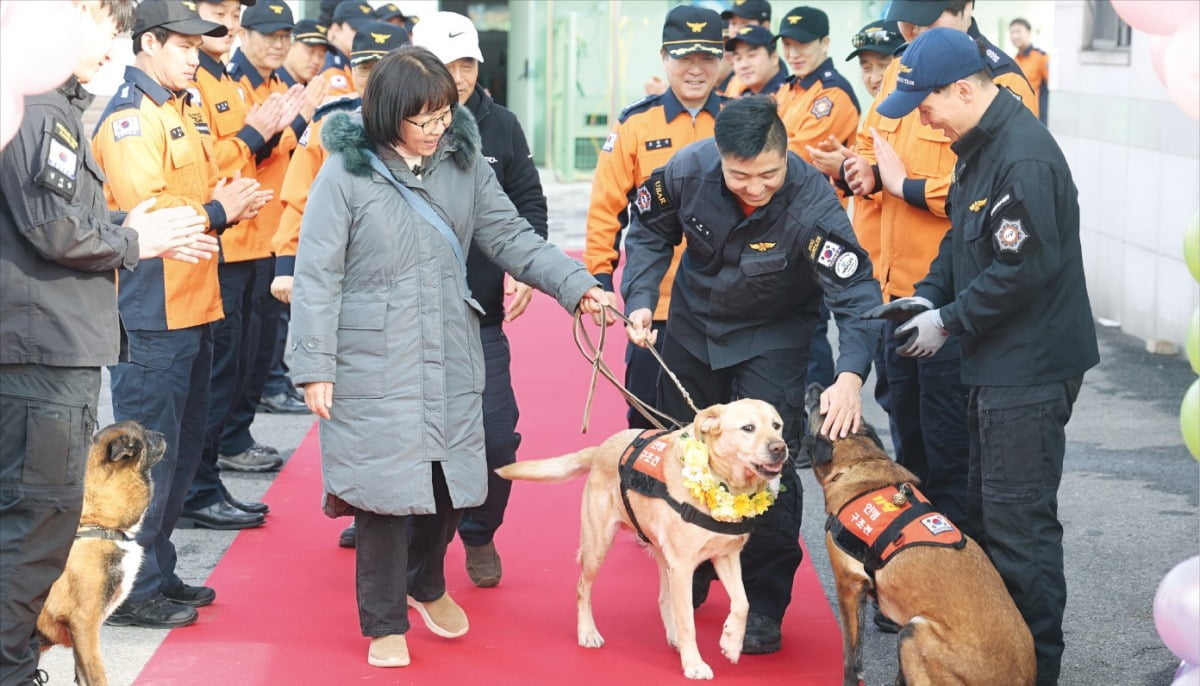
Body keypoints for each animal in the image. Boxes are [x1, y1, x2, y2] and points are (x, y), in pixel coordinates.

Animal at [801, 386, 1036, 686]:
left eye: (820, 404)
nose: (815, 387)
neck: (861, 460)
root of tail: (1020, 678)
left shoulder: (849, 586)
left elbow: (851, 659)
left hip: (915, 632)